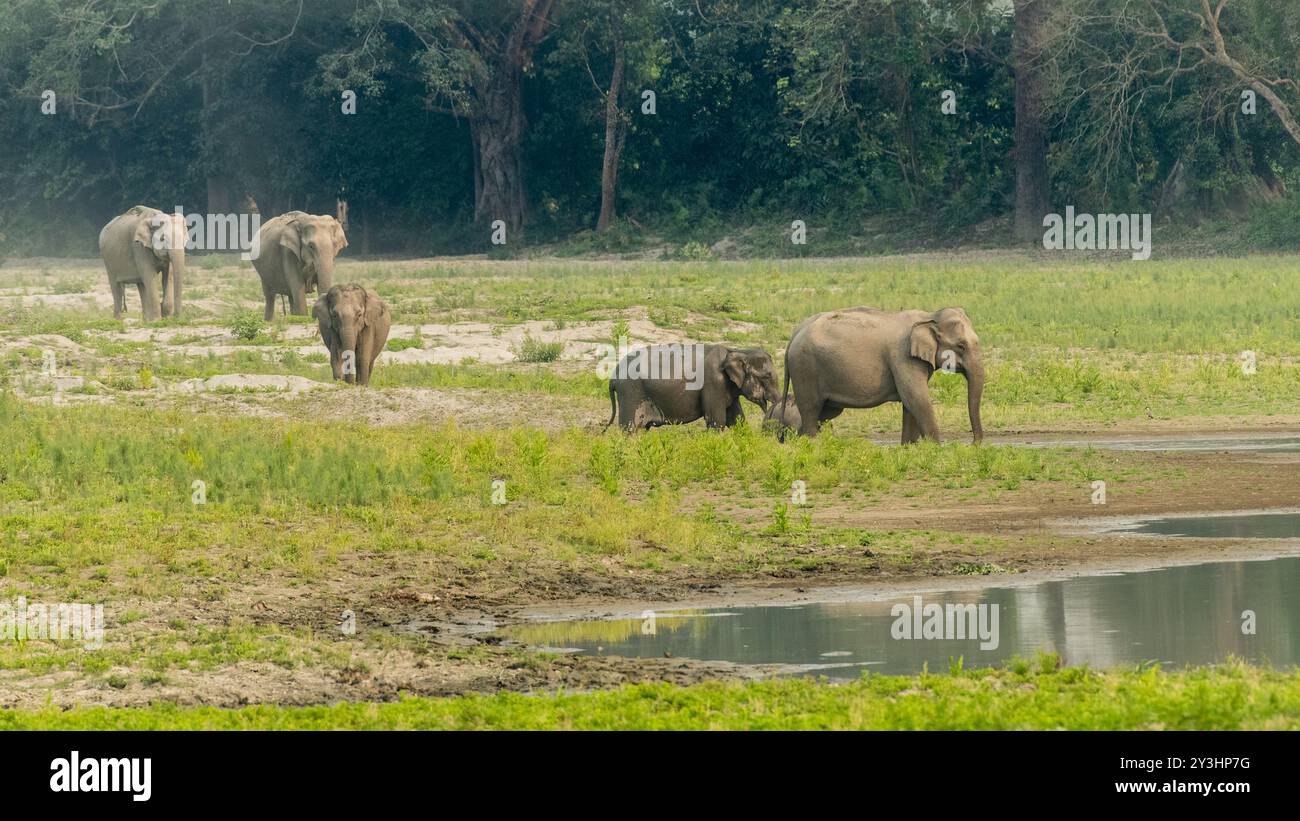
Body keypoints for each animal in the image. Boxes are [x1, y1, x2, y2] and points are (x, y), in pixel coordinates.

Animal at [603, 342, 774, 433]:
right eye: (767, 377)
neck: (738, 350)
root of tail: (613, 376)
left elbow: (737, 420)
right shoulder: (714, 383)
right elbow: (716, 422)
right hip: (630, 392)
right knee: (629, 429)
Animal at [780, 305, 982, 441]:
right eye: (961, 346)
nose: (974, 444)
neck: (929, 316)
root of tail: (795, 333)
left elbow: (910, 403)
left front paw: (910, 449)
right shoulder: (903, 357)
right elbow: (916, 398)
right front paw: (935, 449)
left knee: (824, 413)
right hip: (805, 368)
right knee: (811, 410)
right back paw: (813, 446)